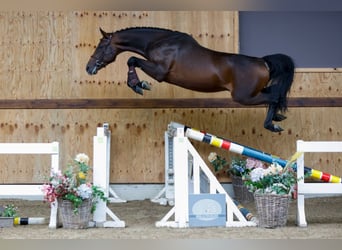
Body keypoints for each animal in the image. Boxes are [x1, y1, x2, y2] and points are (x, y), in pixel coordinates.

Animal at [85, 26, 294, 133]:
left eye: (101, 46)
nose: (89, 68)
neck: (159, 41)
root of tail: (263, 61)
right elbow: (132, 60)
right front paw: (138, 84)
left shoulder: (160, 72)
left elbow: (132, 60)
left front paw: (139, 85)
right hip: (252, 93)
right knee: (275, 94)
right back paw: (277, 117)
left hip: (243, 97)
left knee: (274, 97)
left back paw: (271, 124)